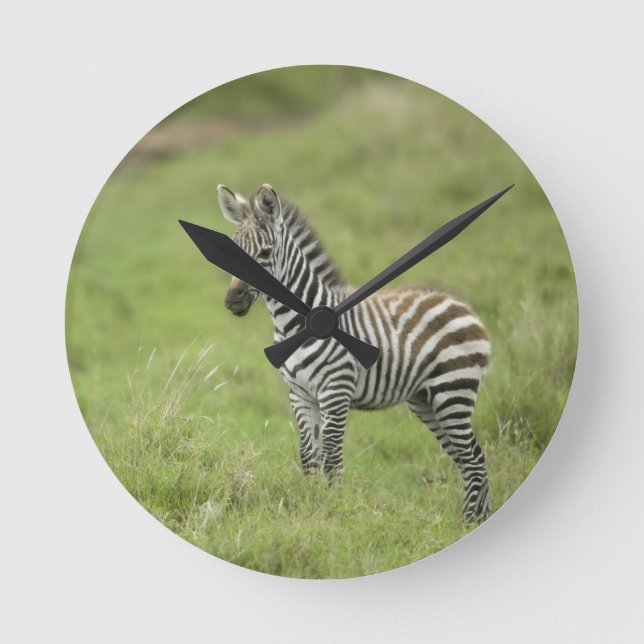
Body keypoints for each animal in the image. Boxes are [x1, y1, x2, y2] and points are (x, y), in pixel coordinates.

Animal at [218, 183, 491, 522]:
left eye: (265, 254)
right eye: (230, 252)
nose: (232, 301)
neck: (294, 324)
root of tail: (461, 303)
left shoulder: (335, 392)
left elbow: (332, 461)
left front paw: (332, 512)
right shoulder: (299, 393)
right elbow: (308, 459)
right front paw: (310, 507)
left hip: (452, 391)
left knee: (474, 460)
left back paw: (469, 522)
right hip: (426, 401)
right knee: (467, 459)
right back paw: (478, 519)